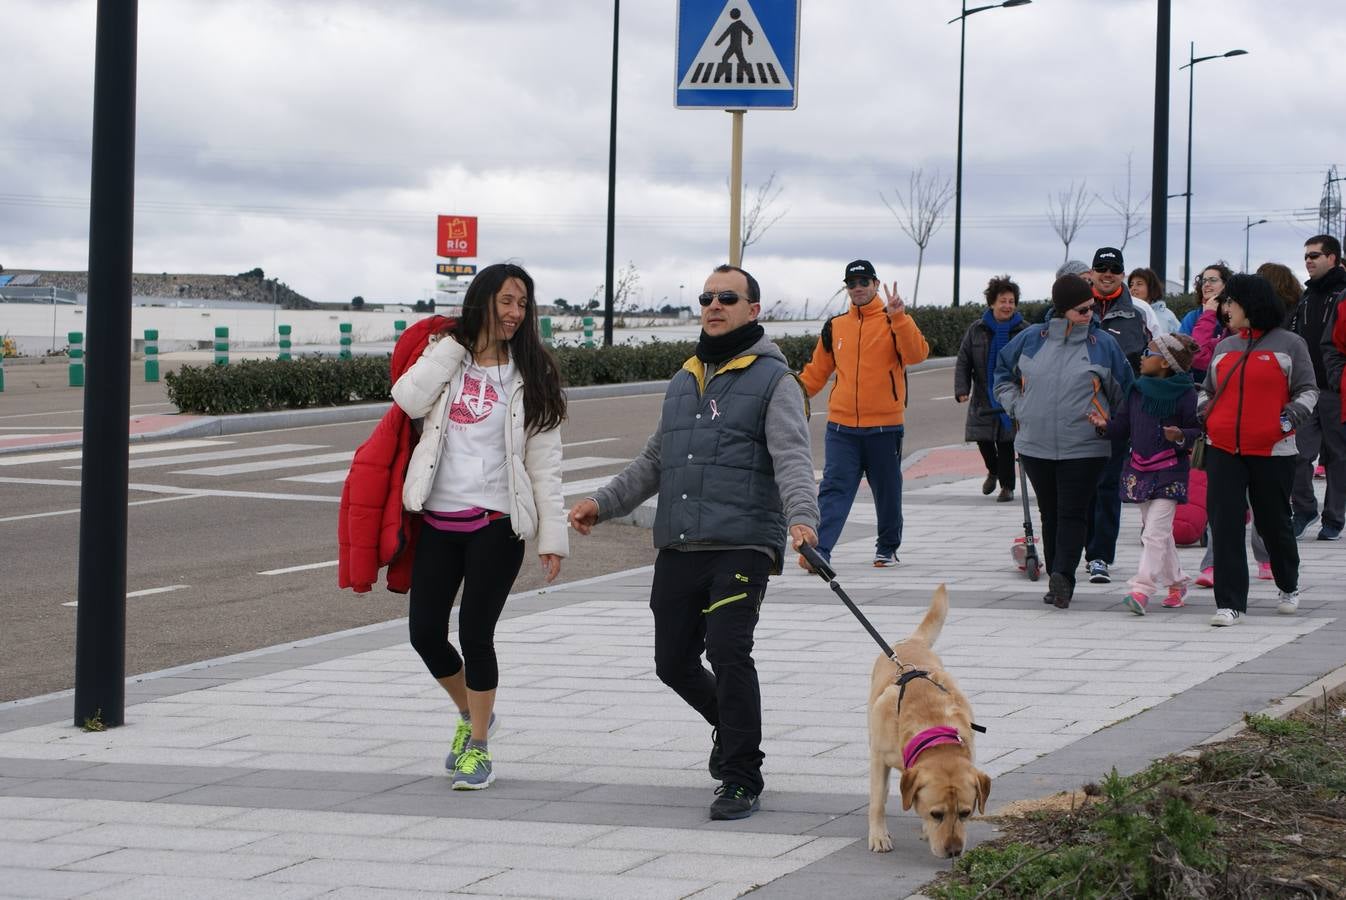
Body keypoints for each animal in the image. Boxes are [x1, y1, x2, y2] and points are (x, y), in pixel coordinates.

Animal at [861, 583, 990, 855]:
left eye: (966, 813)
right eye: (936, 814)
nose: (953, 852)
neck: (930, 727)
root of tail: (911, 641)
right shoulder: (879, 757)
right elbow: (877, 801)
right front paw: (879, 836)